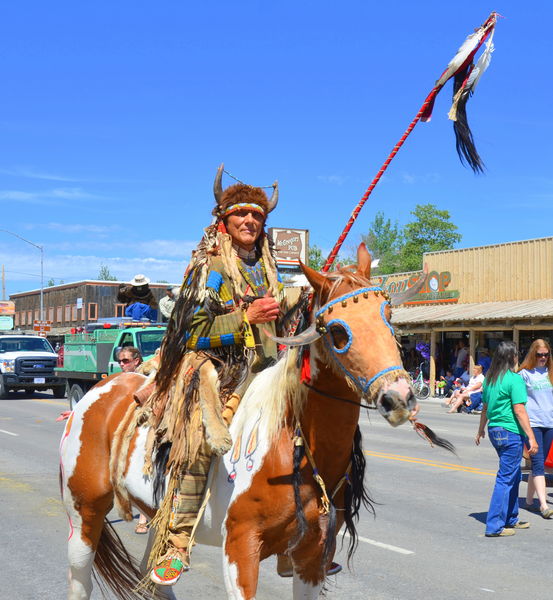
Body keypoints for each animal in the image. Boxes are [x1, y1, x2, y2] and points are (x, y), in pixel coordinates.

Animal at [61, 245, 432, 600]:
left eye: (388, 316)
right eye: (339, 330)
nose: (399, 398)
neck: (291, 444)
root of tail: (102, 388)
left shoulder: (313, 555)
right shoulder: (240, 549)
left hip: (155, 517)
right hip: (84, 511)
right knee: (80, 581)